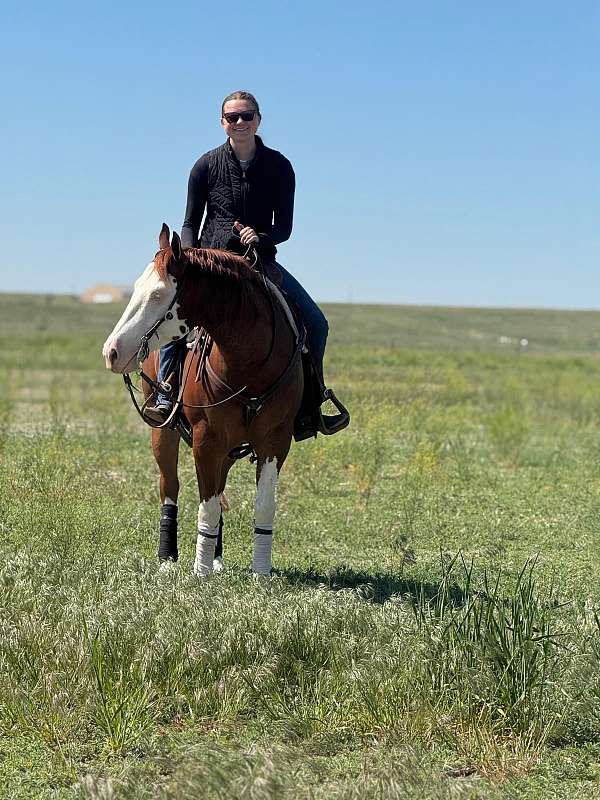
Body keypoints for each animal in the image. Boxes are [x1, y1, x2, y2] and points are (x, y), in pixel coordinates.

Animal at [102, 224, 304, 577]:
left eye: (158, 295)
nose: (112, 351)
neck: (248, 364)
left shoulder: (276, 441)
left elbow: (264, 506)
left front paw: (261, 573)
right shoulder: (205, 439)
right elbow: (206, 506)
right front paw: (200, 572)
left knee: (219, 489)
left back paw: (218, 557)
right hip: (163, 434)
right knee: (170, 487)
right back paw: (168, 557)